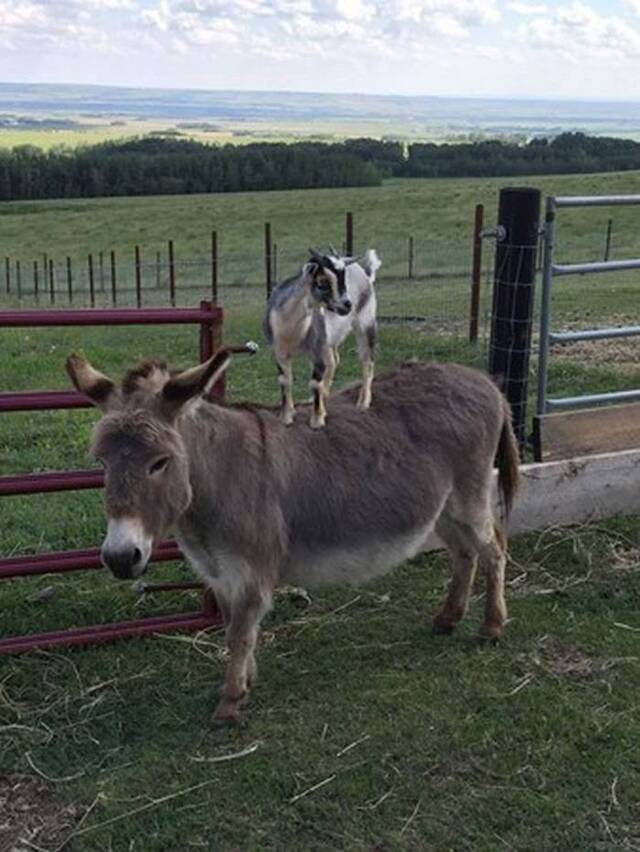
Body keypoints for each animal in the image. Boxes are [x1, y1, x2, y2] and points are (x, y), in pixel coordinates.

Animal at [264, 250, 380, 430]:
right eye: (321, 282)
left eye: (342, 278)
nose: (347, 305)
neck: (292, 330)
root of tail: (365, 273)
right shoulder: (279, 352)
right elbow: (285, 381)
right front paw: (286, 416)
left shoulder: (316, 350)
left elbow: (314, 383)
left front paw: (317, 420)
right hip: (328, 340)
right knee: (333, 361)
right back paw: (321, 396)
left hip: (365, 322)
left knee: (367, 359)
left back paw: (363, 402)